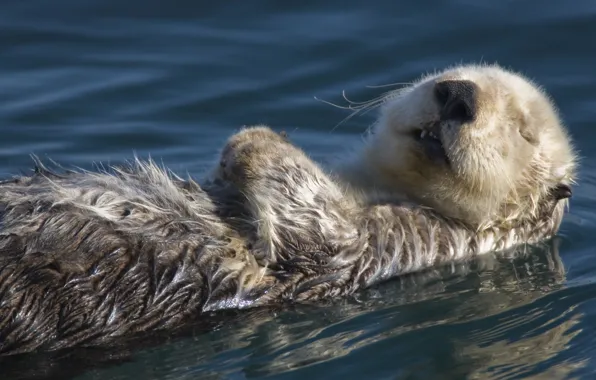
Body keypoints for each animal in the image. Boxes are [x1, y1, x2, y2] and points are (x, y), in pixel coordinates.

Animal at [0, 63, 576, 354]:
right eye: (454, 73)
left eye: (523, 130)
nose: (457, 94)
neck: (373, 185)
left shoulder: (408, 241)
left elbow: (320, 233)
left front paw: (255, 139)